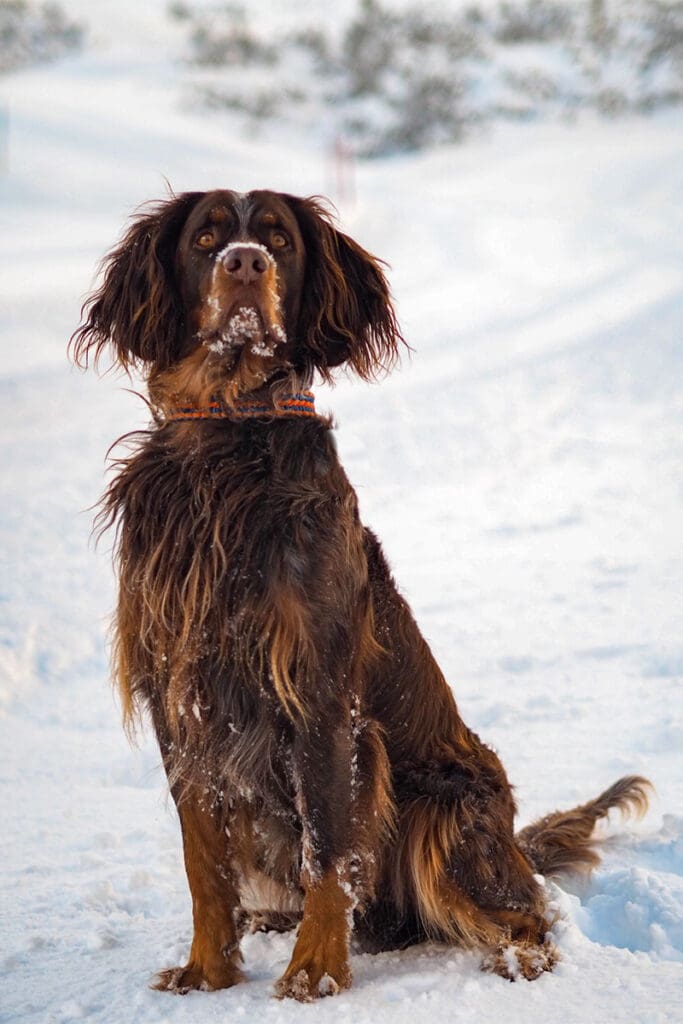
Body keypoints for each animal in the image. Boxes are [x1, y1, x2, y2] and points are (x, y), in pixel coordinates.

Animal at [69, 190, 651, 999]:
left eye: (278, 239)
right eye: (206, 239)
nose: (245, 264)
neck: (227, 441)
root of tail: (511, 840)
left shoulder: (317, 688)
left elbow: (329, 847)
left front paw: (314, 972)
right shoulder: (180, 698)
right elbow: (202, 857)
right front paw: (209, 970)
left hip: (445, 808)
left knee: (527, 910)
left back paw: (516, 955)